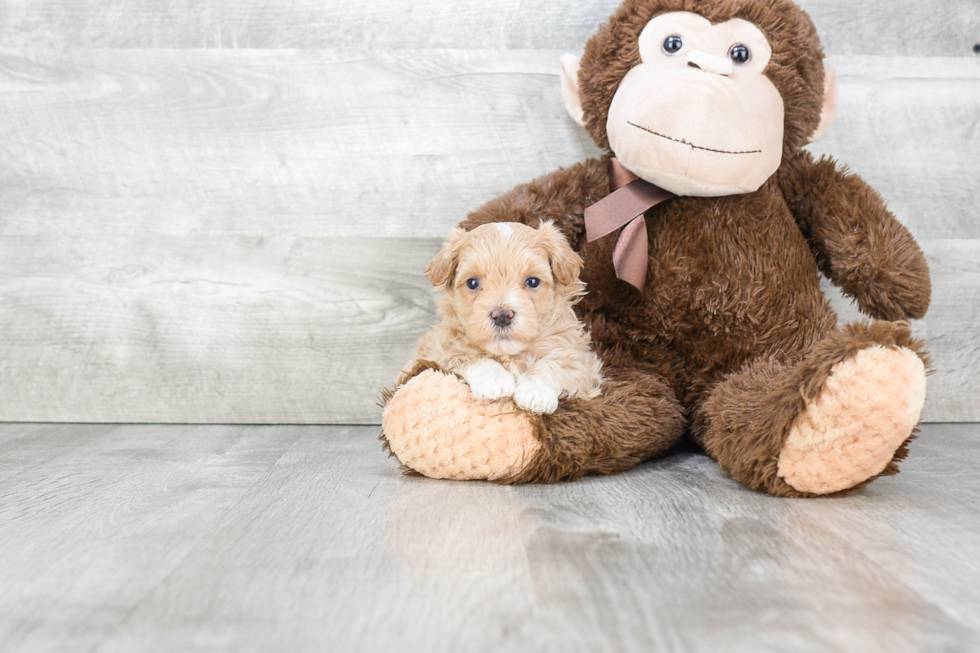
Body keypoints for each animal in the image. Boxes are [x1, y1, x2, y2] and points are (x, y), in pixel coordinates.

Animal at [402, 219, 600, 412]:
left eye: (532, 281)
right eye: (472, 283)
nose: (502, 316)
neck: (510, 353)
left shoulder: (582, 362)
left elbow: (554, 363)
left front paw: (535, 392)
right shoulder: (438, 352)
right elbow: (470, 355)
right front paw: (494, 381)